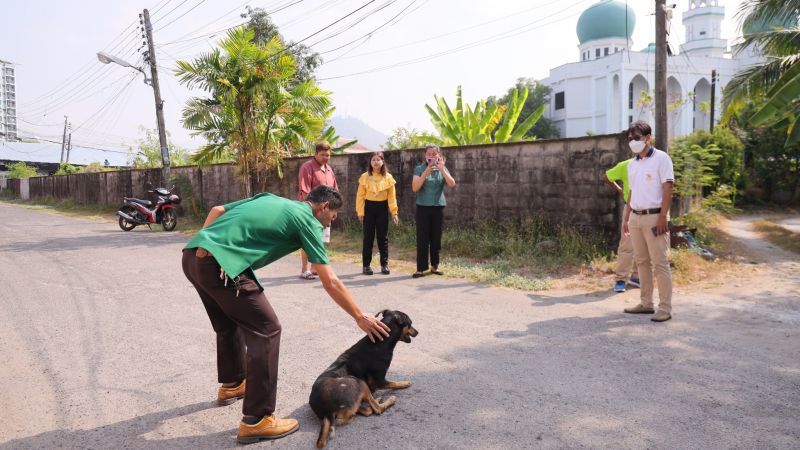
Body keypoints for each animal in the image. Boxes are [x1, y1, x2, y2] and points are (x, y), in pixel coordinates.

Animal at [308, 312, 418, 448]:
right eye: (410, 323)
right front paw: (405, 383)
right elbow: (395, 384)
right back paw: (388, 400)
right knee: (376, 409)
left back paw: (376, 399)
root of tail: (327, 412)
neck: (380, 341)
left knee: (366, 410)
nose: (417, 332)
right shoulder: (379, 381)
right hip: (358, 382)